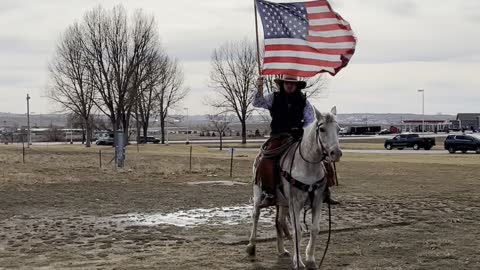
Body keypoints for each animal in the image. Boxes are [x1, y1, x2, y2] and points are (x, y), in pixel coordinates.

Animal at [248, 106, 342, 268]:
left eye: (338, 129)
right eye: (322, 129)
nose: (336, 153)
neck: (307, 166)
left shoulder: (317, 201)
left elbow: (314, 229)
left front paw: (310, 258)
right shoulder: (295, 204)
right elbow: (297, 230)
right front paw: (298, 261)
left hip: (282, 202)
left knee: (279, 221)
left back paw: (281, 250)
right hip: (258, 192)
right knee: (256, 215)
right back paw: (251, 246)